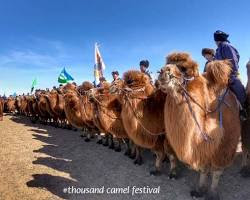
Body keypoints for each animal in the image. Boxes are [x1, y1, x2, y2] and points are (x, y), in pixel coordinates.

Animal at [157, 52, 241, 200]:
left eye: (183, 68)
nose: (163, 71)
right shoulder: (201, 147)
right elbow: (203, 168)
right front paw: (199, 190)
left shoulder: (226, 144)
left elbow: (217, 171)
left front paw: (212, 193)